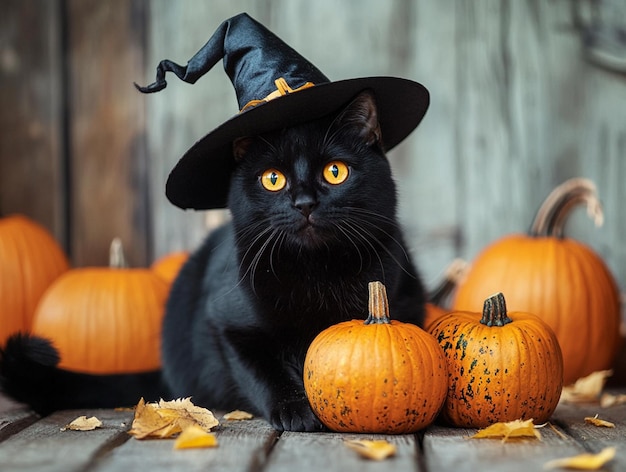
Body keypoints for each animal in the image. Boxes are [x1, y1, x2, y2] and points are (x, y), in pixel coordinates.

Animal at [0, 91, 424, 432]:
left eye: (335, 172)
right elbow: (264, 373)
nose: (304, 203)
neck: (317, 272)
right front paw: (296, 411)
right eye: (273, 179)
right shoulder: (228, 327)